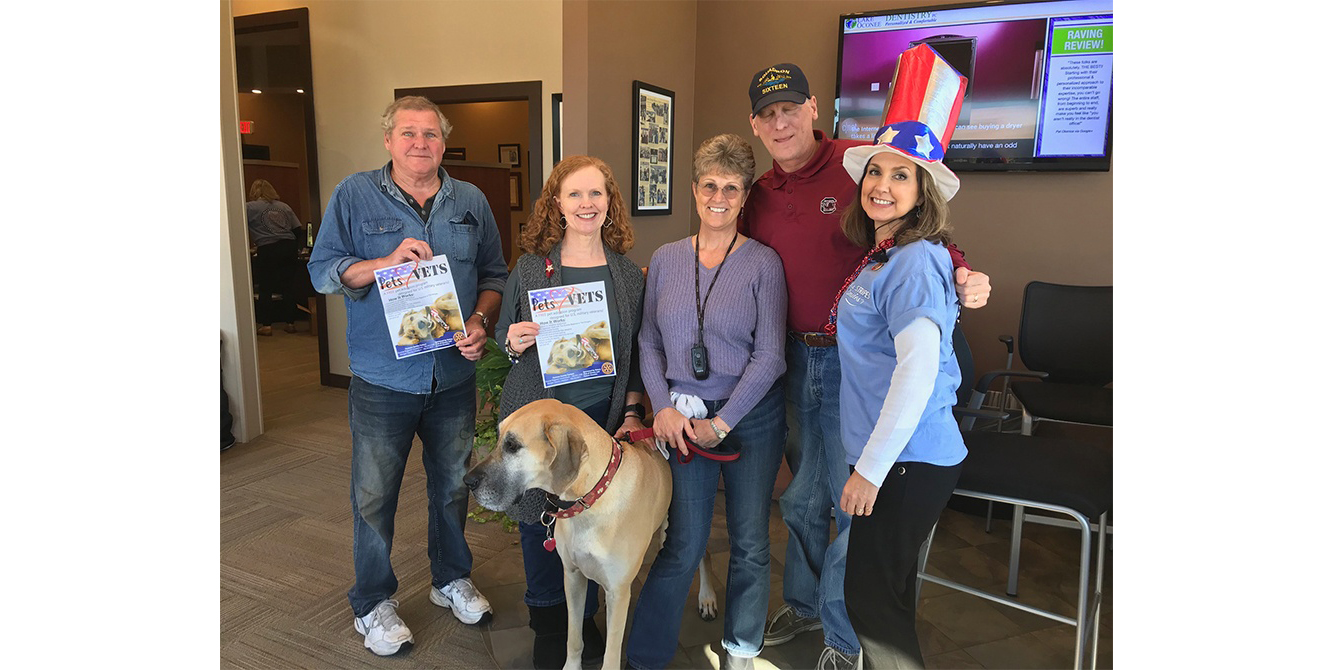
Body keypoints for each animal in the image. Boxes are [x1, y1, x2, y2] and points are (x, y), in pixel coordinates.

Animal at [464, 400, 672, 667]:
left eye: (512, 446)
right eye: (499, 438)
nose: (467, 480)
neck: (591, 497)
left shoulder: (617, 593)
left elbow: (611, 656)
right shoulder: (572, 577)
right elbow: (573, 638)